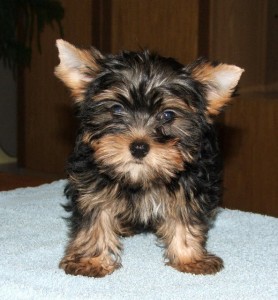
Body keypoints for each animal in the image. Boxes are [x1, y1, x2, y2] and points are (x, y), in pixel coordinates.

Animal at [54, 38, 243, 278]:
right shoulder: (91, 184)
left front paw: (190, 257)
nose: (139, 147)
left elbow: (185, 219)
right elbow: (95, 219)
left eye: (167, 115)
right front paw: (91, 261)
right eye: (116, 109)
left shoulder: (190, 184)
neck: (141, 178)